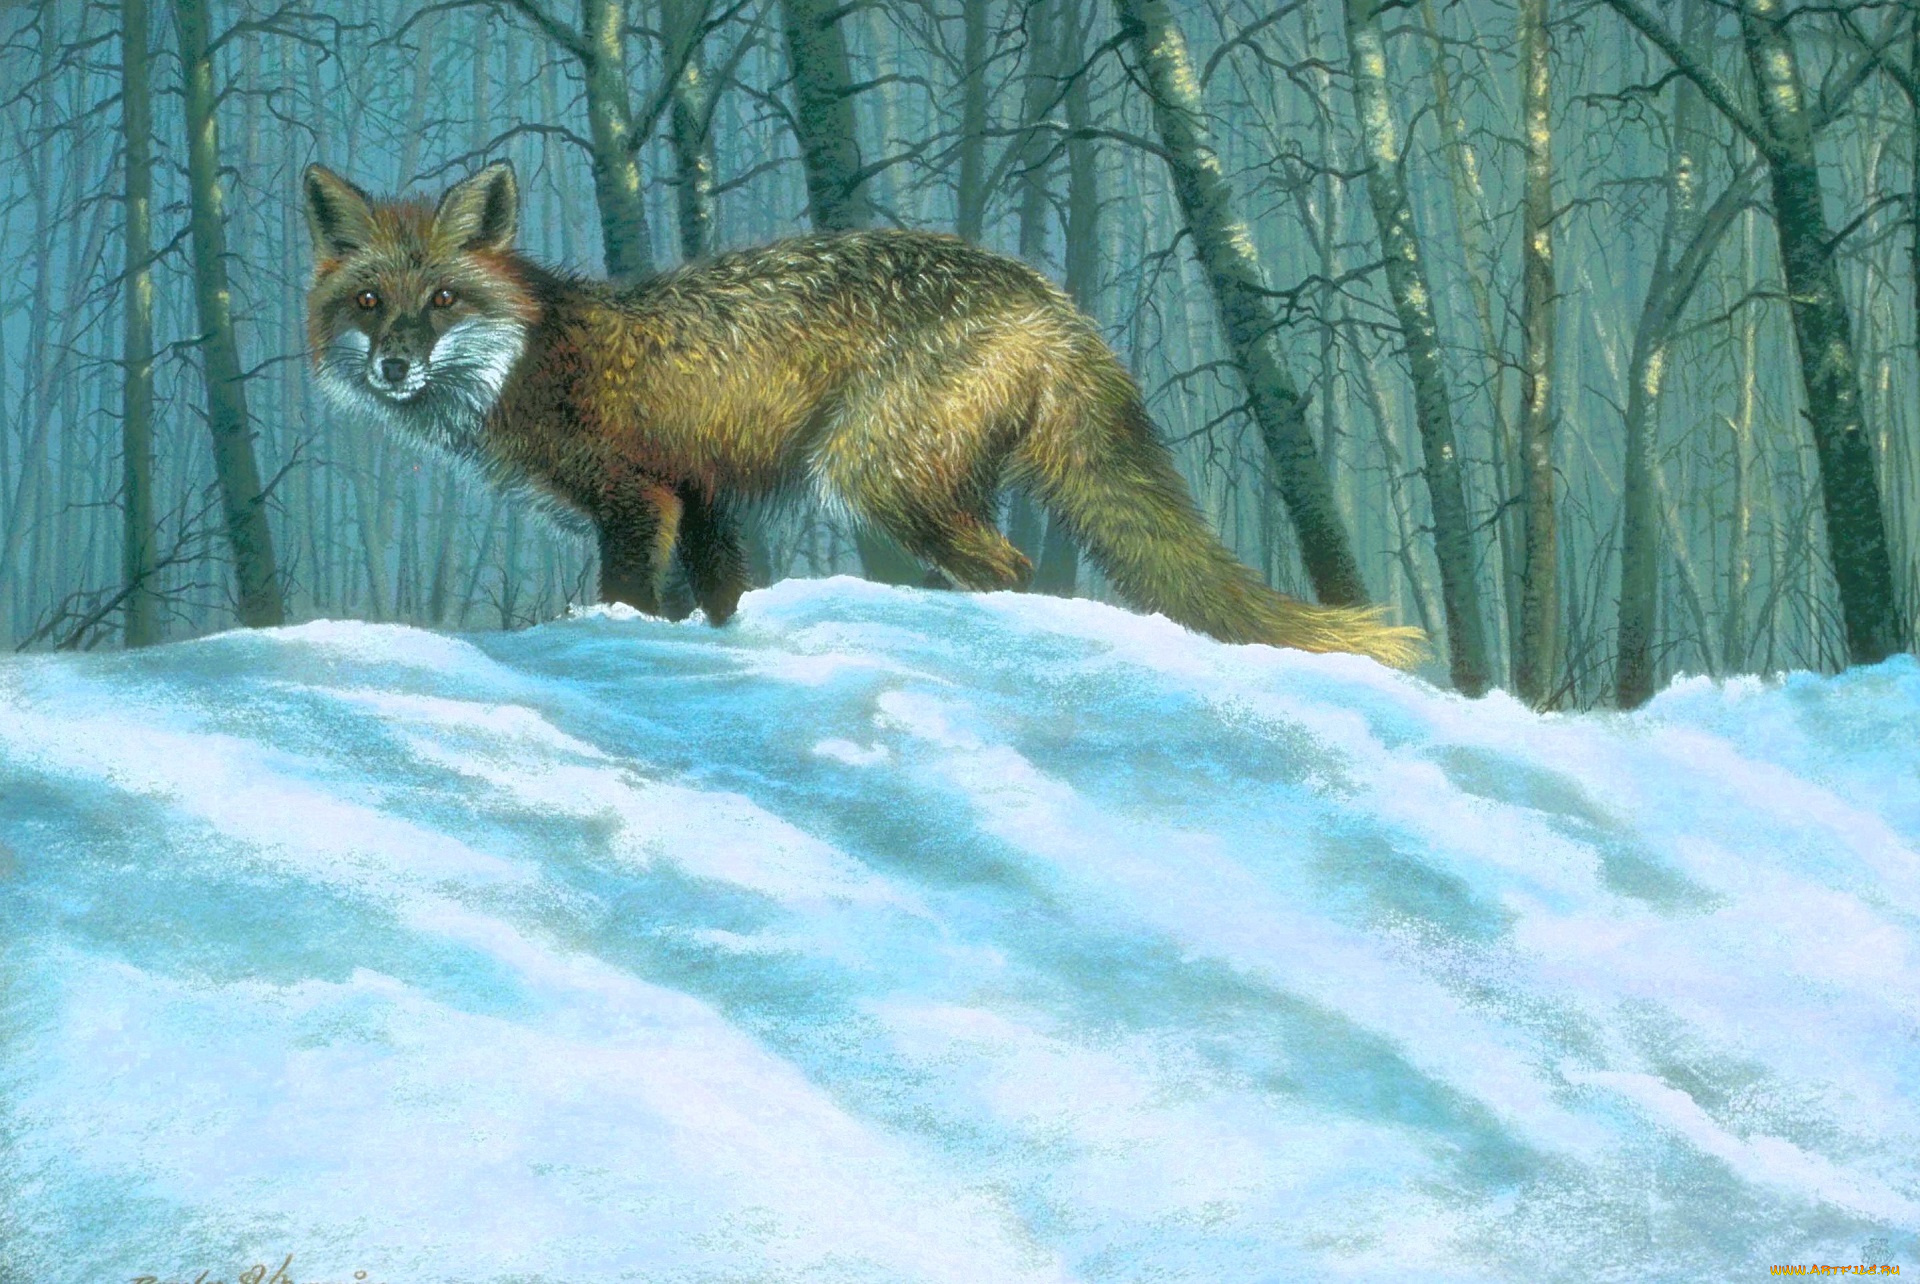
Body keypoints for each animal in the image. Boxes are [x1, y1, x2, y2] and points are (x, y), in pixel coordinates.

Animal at [302, 161, 1421, 666]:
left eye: (443, 301)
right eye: (371, 302)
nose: (395, 364)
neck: (529, 355)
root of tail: (1049, 296)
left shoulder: (638, 496)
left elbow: (631, 596)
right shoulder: (704, 497)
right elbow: (721, 594)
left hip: (876, 477)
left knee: (1012, 570)